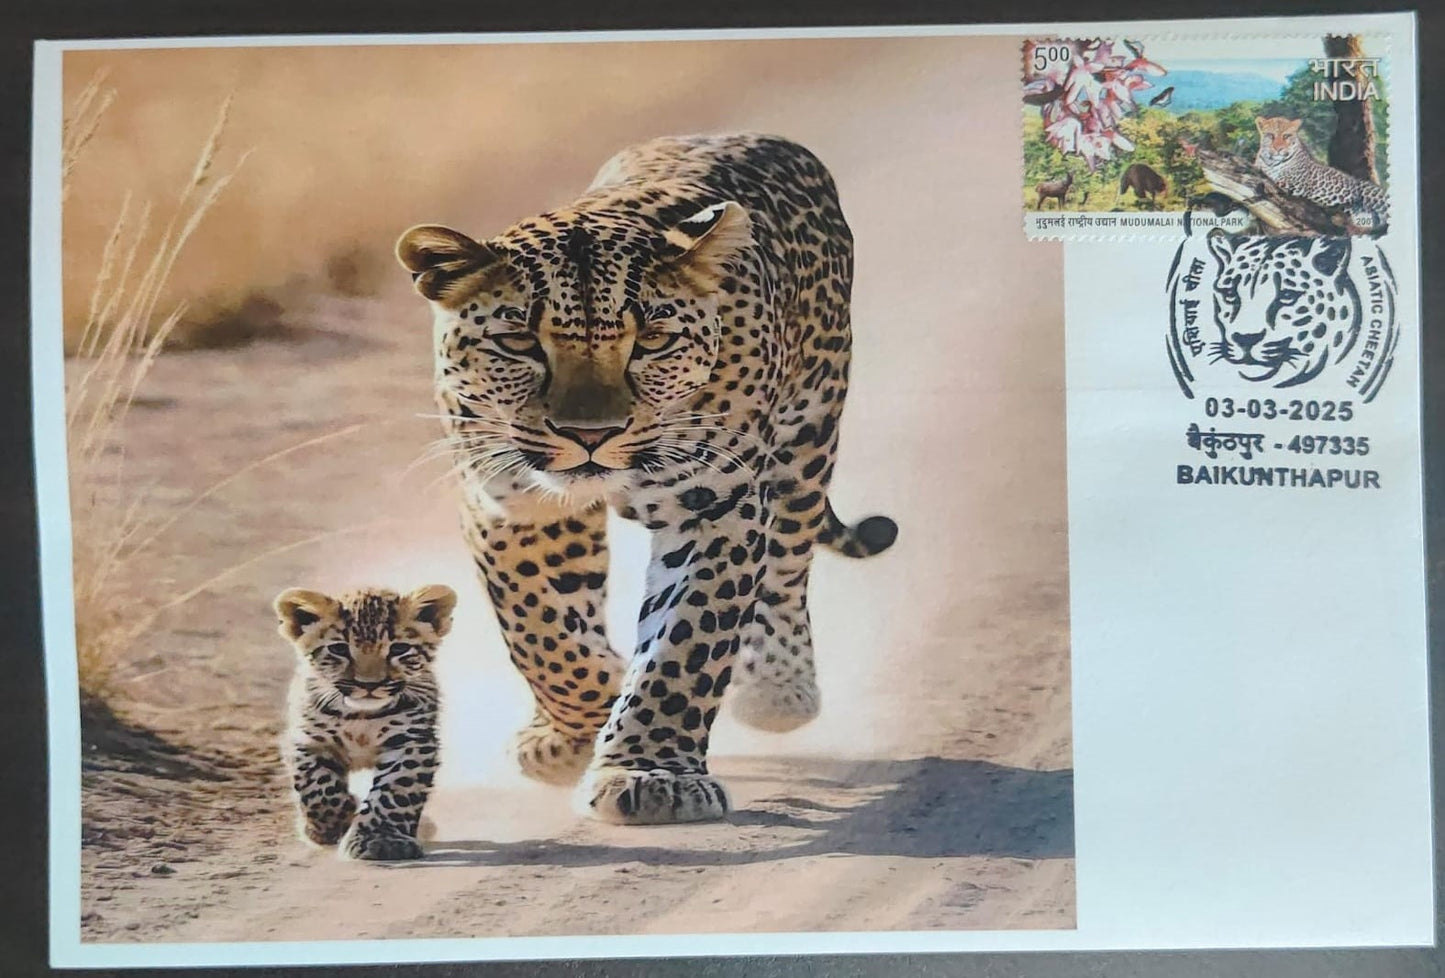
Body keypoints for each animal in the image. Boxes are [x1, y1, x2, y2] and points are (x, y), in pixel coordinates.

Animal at [275, 584, 456, 859]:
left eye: (399, 649)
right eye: (339, 649)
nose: (369, 685)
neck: (360, 717)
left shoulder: (411, 742)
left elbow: (394, 791)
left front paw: (381, 840)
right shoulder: (306, 740)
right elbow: (318, 787)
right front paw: (332, 827)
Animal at [395, 133, 897, 825]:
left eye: (652, 340)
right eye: (519, 342)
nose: (590, 434)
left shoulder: (717, 504)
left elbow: (685, 645)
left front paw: (649, 769)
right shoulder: (512, 505)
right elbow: (542, 632)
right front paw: (581, 720)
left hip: (810, 432)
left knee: (788, 562)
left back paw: (780, 685)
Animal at [1253, 116, 1388, 233]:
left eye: (1286, 136)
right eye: (1271, 135)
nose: (1278, 149)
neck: (1271, 162)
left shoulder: (1296, 184)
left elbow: (1276, 179)